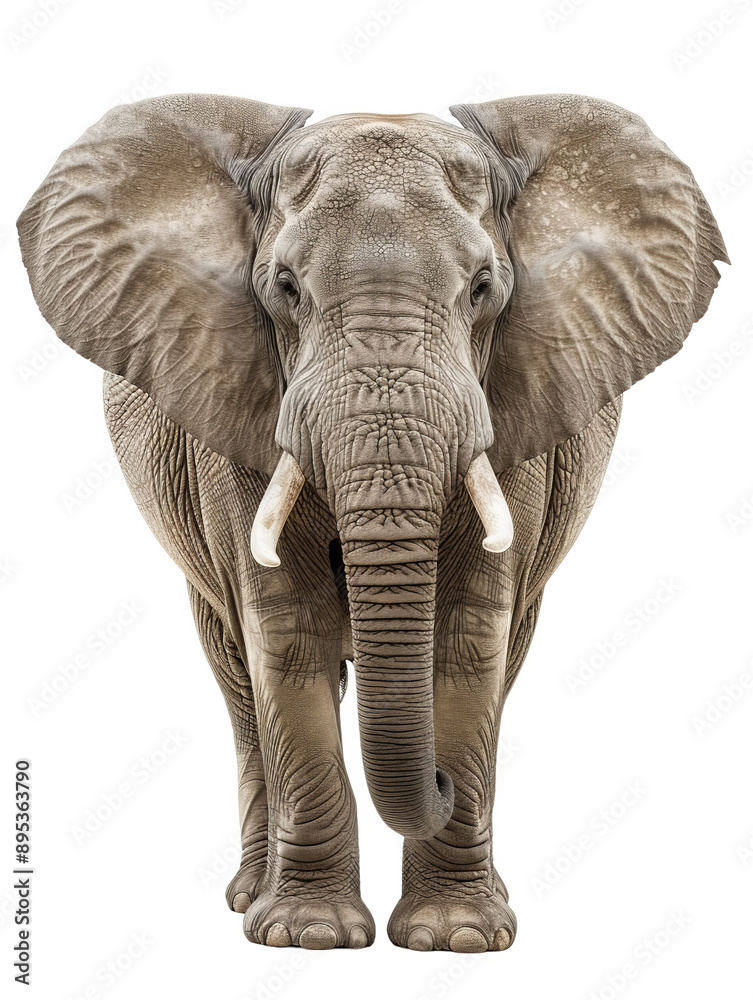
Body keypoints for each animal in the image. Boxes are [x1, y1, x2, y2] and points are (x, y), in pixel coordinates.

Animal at [18, 92, 727, 953]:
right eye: (285, 287)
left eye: (483, 287)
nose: (441, 783)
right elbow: (286, 635)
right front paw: (308, 936)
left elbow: (470, 641)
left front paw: (457, 938)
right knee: (239, 679)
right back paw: (248, 895)